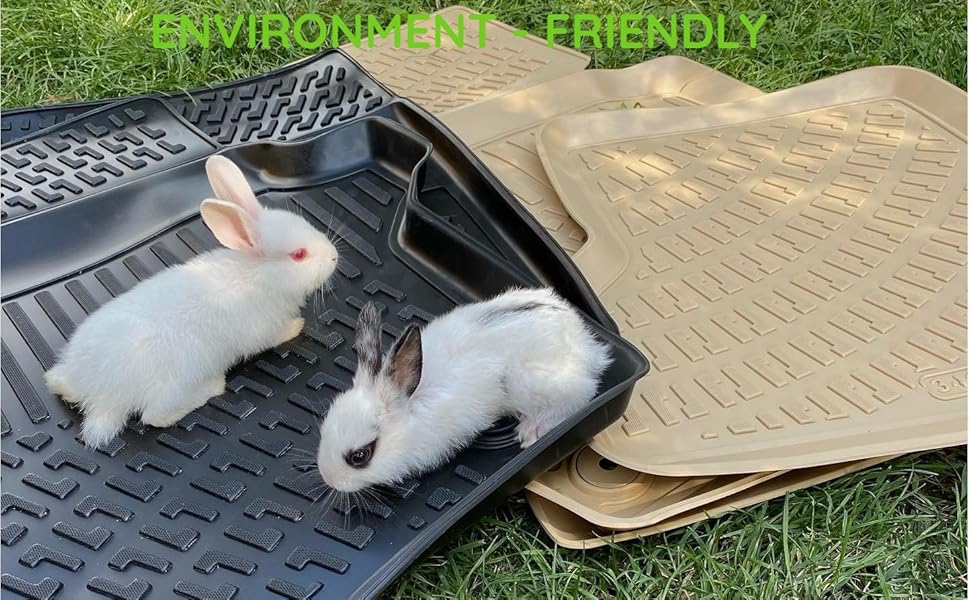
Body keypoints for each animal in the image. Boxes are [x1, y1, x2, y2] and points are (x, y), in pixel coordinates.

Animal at [44, 155, 339, 448]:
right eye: (299, 255)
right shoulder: (264, 330)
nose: (334, 255)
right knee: (154, 417)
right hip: (173, 384)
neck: (259, 275)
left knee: (56, 383)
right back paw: (212, 386)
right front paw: (297, 326)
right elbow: (277, 335)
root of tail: (101, 395)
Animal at [316, 287, 612, 493]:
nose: (329, 479)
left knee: (582, 393)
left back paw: (531, 431)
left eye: (360, 456)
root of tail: (587, 346)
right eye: (324, 427)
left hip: (531, 383)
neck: (410, 405)